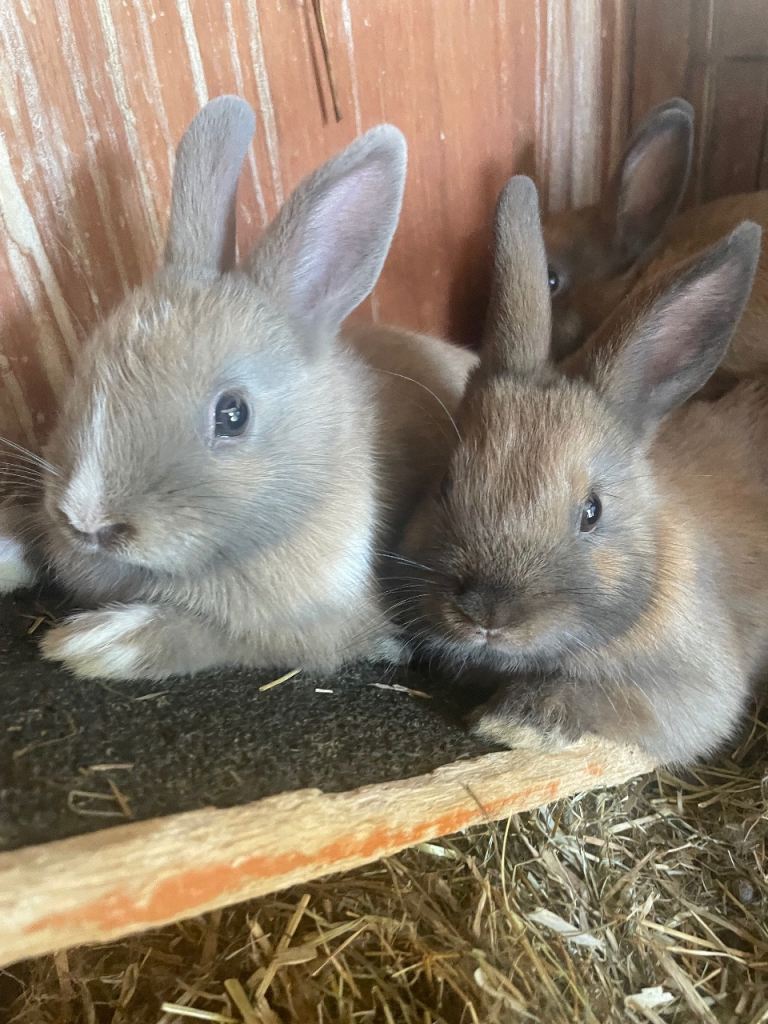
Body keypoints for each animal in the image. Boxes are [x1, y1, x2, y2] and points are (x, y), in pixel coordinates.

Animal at [14, 95, 474, 681]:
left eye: (233, 415)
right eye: (85, 366)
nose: (88, 521)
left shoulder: (310, 628)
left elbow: (210, 634)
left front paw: (93, 644)